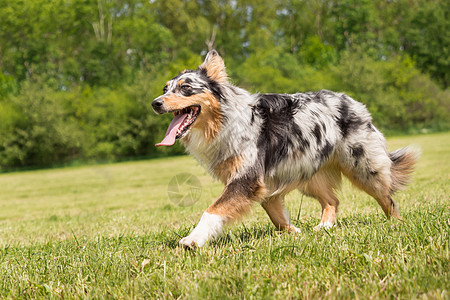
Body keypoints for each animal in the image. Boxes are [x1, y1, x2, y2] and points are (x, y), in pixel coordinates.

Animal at [151, 50, 418, 250]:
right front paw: (294, 232)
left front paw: (192, 240)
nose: (155, 103)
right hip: (308, 172)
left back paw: (396, 224)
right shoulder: (265, 184)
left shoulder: (246, 179)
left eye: (186, 88)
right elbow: (276, 215)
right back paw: (325, 227)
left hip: (363, 166)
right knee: (333, 200)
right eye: (165, 89)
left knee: (387, 198)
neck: (225, 120)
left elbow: (212, 210)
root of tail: (351, 100)